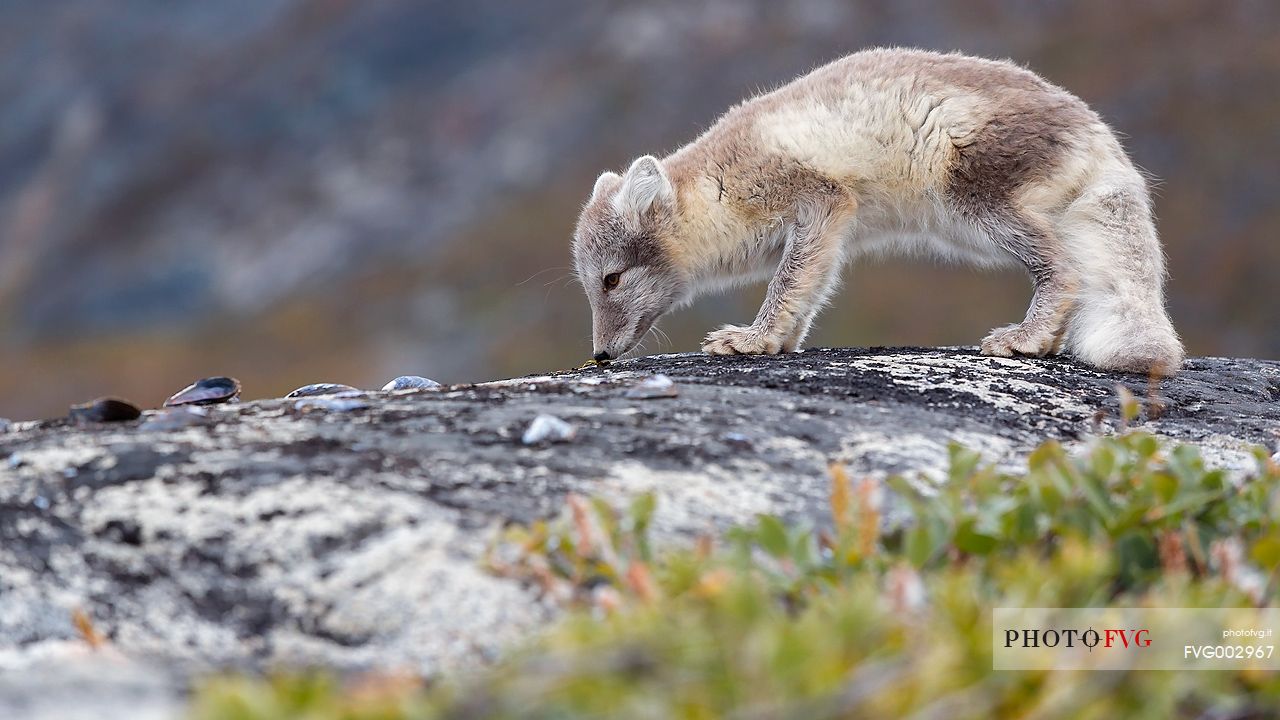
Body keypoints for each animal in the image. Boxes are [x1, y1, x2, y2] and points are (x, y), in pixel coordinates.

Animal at [576, 49, 1182, 376]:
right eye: (591, 284)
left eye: (611, 279)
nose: (600, 355)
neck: (716, 186)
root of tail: (1098, 133)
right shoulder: (832, 230)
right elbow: (809, 289)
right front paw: (778, 342)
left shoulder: (818, 200)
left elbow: (787, 283)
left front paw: (751, 338)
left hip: (975, 206)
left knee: (1065, 270)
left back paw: (1024, 338)